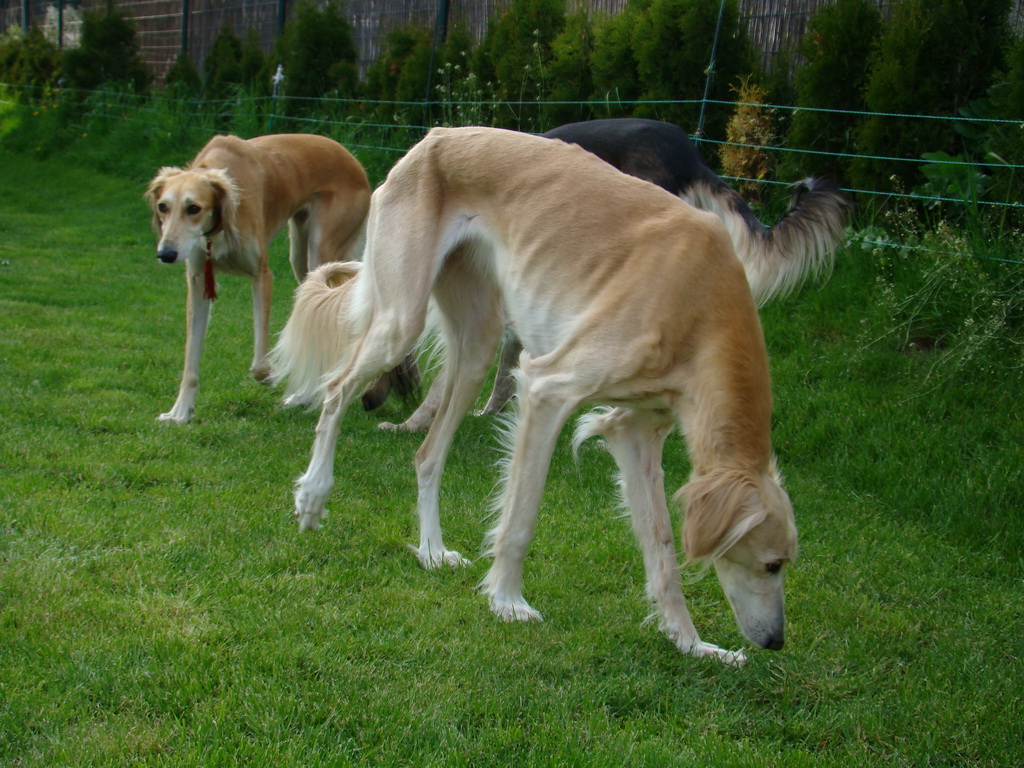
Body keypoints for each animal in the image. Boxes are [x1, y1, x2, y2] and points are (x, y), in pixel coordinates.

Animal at [142, 132, 370, 423]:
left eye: (193, 208)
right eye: (163, 206)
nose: (166, 254)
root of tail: (350, 156)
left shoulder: (262, 275)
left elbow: (259, 364)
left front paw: (273, 374)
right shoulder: (198, 280)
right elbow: (190, 358)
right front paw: (180, 411)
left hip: (322, 249)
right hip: (300, 257)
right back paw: (305, 396)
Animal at [272, 128, 798, 667]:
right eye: (772, 564)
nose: (776, 641)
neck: (702, 302)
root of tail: (435, 137)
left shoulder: (634, 430)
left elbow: (662, 548)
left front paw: (691, 642)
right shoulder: (548, 389)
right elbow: (521, 516)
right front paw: (507, 600)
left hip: (477, 345)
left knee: (427, 455)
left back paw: (433, 550)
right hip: (401, 321)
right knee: (335, 390)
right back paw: (313, 495)